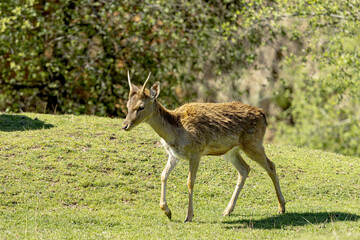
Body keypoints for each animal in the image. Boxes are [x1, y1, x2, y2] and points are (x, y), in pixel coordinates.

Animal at [122, 71, 286, 223]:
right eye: (128, 105)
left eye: (141, 107)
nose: (125, 125)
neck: (175, 132)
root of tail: (263, 115)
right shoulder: (174, 154)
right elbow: (163, 175)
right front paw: (167, 211)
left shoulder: (196, 151)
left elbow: (190, 182)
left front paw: (188, 216)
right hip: (231, 151)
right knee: (245, 169)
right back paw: (227, 210)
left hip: (253, 143)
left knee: (271, 166)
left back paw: (281, 207)